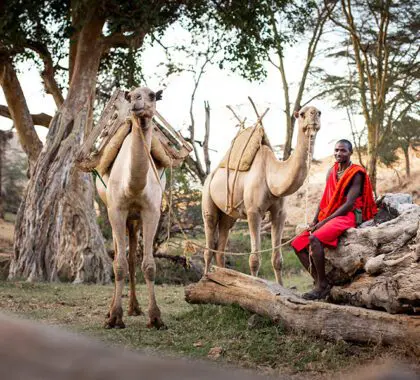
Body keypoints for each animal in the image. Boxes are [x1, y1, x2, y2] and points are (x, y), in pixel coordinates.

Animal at [97, 86, 166, 330]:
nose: (136, 102)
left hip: (134, 219)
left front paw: (155, 318)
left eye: (152, 95)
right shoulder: (116, 210)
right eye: (131, 95)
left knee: (133, 258)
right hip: (114, 213)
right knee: (119, 256)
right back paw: (111, 311)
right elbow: (118, 265)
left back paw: (134, 307)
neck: (134, 185)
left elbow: (149, 265)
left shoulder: (151, 211)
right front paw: (114, 318)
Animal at [201, 105, 322, 284]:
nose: (314, 115)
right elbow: (254, 259)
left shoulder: (280, 213)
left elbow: (277, 259)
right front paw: (254, 285)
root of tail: (211, 175)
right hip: (207, 199)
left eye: (319, 112)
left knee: (221, 247)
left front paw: (281, 287)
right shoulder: (253, 212)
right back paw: (204, 279)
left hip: (228, 216)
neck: (271, 175)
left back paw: (220, 280)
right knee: (209, 243)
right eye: (302, 114)